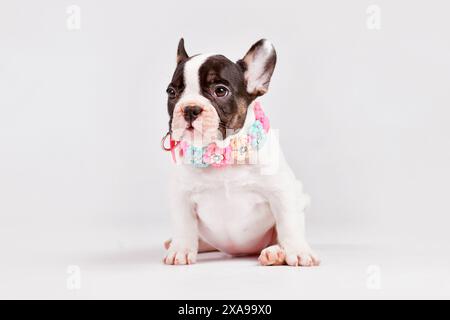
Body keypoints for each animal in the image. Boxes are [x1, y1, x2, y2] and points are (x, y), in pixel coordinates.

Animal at [163, 38, 318, 266]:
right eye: (171, 93)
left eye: (220, 91)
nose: (190, 109)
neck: (223, 153)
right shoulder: (181, 196)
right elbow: (184, 226)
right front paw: (180, 249)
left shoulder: (282, 192)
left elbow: (288, 224)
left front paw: (298, 251)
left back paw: (276, 253)